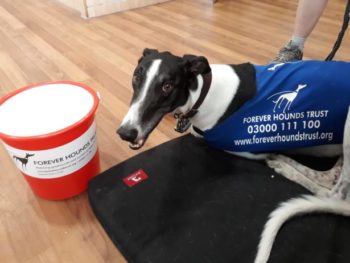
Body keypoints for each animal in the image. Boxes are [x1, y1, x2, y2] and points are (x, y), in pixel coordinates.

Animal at [117, 49, 350, 263]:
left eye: (167, 86)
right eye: (136, 77)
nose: (126, 133)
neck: (203, 94)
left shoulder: (248, 147)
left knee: (336, 193)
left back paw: (286, 167)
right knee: (332, 175)